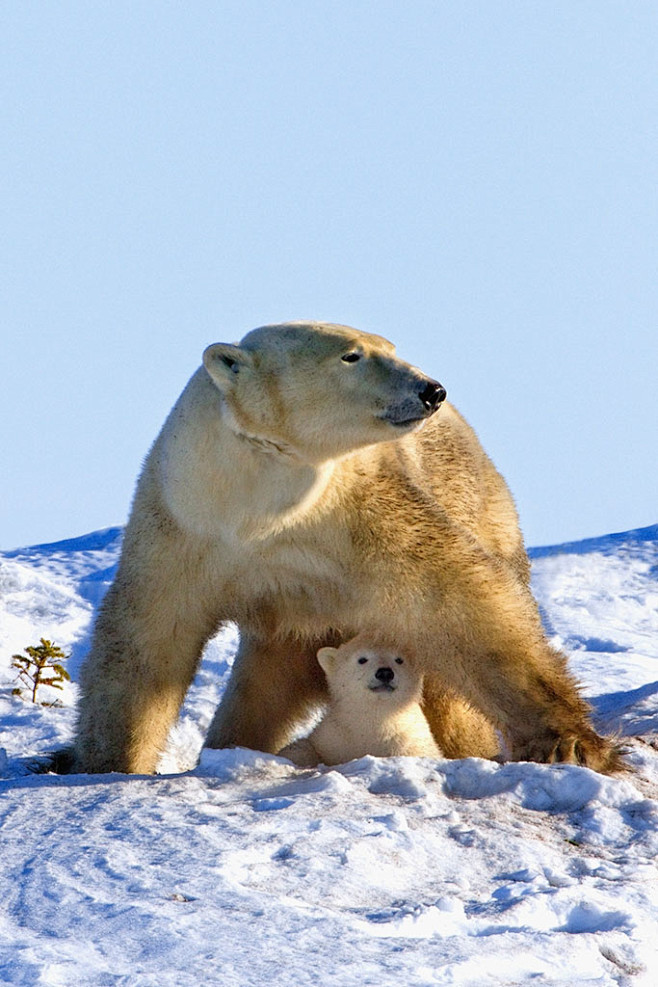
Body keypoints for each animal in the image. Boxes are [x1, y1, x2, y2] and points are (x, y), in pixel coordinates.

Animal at [276, 636, 440, 768]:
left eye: (399, 660)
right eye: (362, 659)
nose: (385, 673)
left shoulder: (411, 743)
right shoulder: (333, 737)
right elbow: (304, 747)